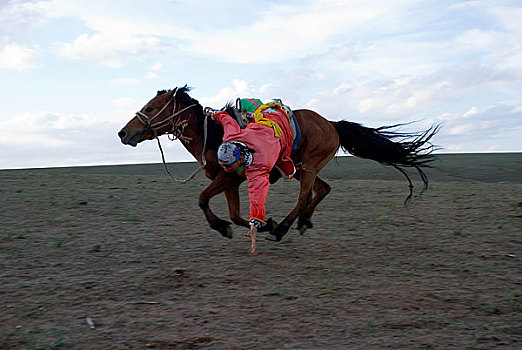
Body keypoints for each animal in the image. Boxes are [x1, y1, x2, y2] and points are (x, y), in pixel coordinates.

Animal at [118, 86, 438, 242]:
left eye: (150, 108)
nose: (122, 133)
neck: (214, 135)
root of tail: (332, 123)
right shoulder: (232, 181)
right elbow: (235, 214)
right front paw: (255, 224)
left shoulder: (230, 178)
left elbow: (202, 200)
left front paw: (228, 227)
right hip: (299, 167)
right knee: (323, 189)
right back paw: (302, 222)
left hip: (307, 167)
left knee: (304, 197)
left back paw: (283, 228)